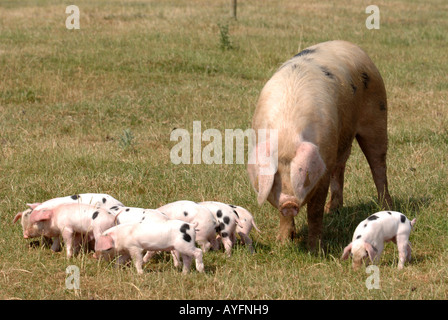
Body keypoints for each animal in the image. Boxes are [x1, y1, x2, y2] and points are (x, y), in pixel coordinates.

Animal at [248, 40, 392, 249]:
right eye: (275, 176)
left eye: (301, 172)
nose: (289, 202)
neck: (287, 135)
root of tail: (350, 45)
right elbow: (284, 217)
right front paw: (283, 243)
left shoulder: (322, 173)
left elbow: (315, 211)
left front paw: (315, 249)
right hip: (340, 141)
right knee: (340, 168)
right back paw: (333, 210)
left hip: (378, 114)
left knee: (378, 165)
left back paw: (385, 207)